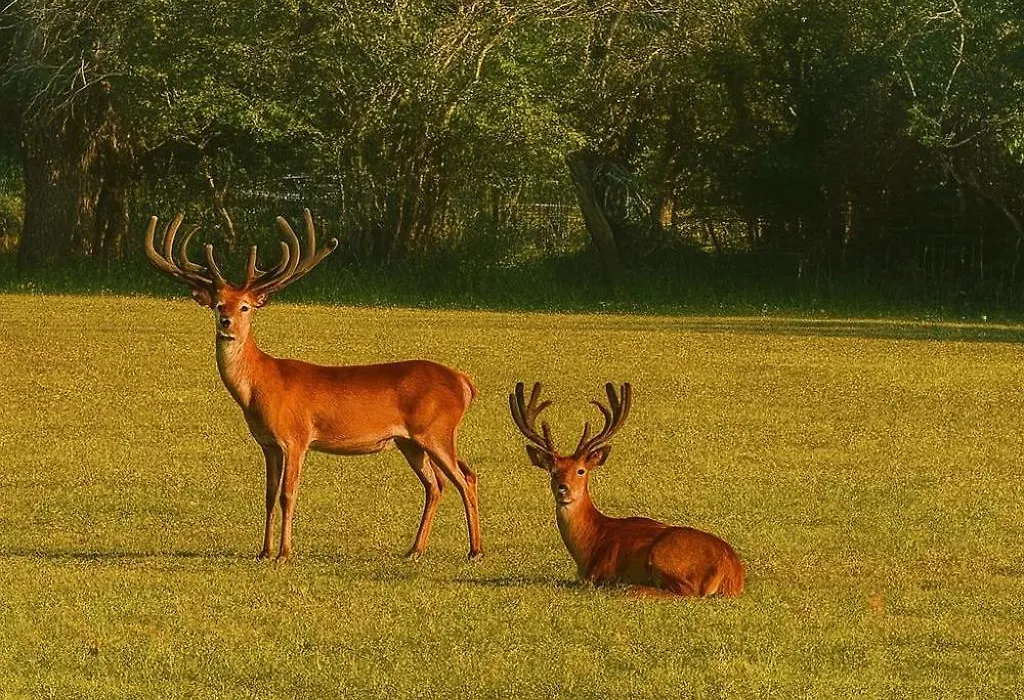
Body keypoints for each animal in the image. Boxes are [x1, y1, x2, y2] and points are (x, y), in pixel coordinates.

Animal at [144, 209, 482, 562]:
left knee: (464, 478)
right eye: (218, 304)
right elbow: (268, 494)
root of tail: (464, 383)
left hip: (436, 430)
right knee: (438, 483)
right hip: (411, 442)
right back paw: (415, 549)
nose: (227, 323)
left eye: (245, 306)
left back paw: (475, 550)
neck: (260, 386)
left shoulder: (296, 437)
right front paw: (263, 551)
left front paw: (284, 553)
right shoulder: (267, 443)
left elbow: (288, 494)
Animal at [509, 382, 744, 598]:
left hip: (664, 555)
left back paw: (630, 587)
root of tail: (730, 570)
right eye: (553, 471)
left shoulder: (595, 575)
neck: (591, 542)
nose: (563, 489)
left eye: (581, 470)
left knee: (686, 592)